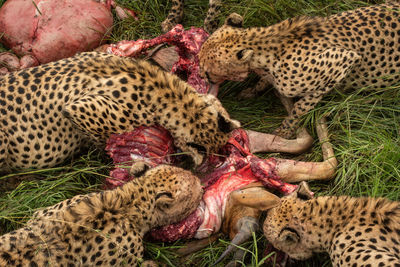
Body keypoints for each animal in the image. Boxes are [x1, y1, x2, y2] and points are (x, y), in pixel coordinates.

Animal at [200, 2, 400, 138]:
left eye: (207, 70)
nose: (202, 77)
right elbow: (264, 82)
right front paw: (252, 90)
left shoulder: (344, 60)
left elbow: (301, 107)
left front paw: (286, 130)